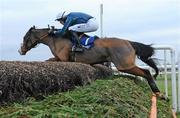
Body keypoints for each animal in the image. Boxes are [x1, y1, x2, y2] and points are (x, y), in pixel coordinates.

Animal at [18, 26, 167, 100]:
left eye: (25, 37)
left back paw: (159, 93)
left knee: (146, 72)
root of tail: (128, 42)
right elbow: (48, 61)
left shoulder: (64, 59)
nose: (21, 50)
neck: (56, 39)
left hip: (124, 65)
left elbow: (50, 61)